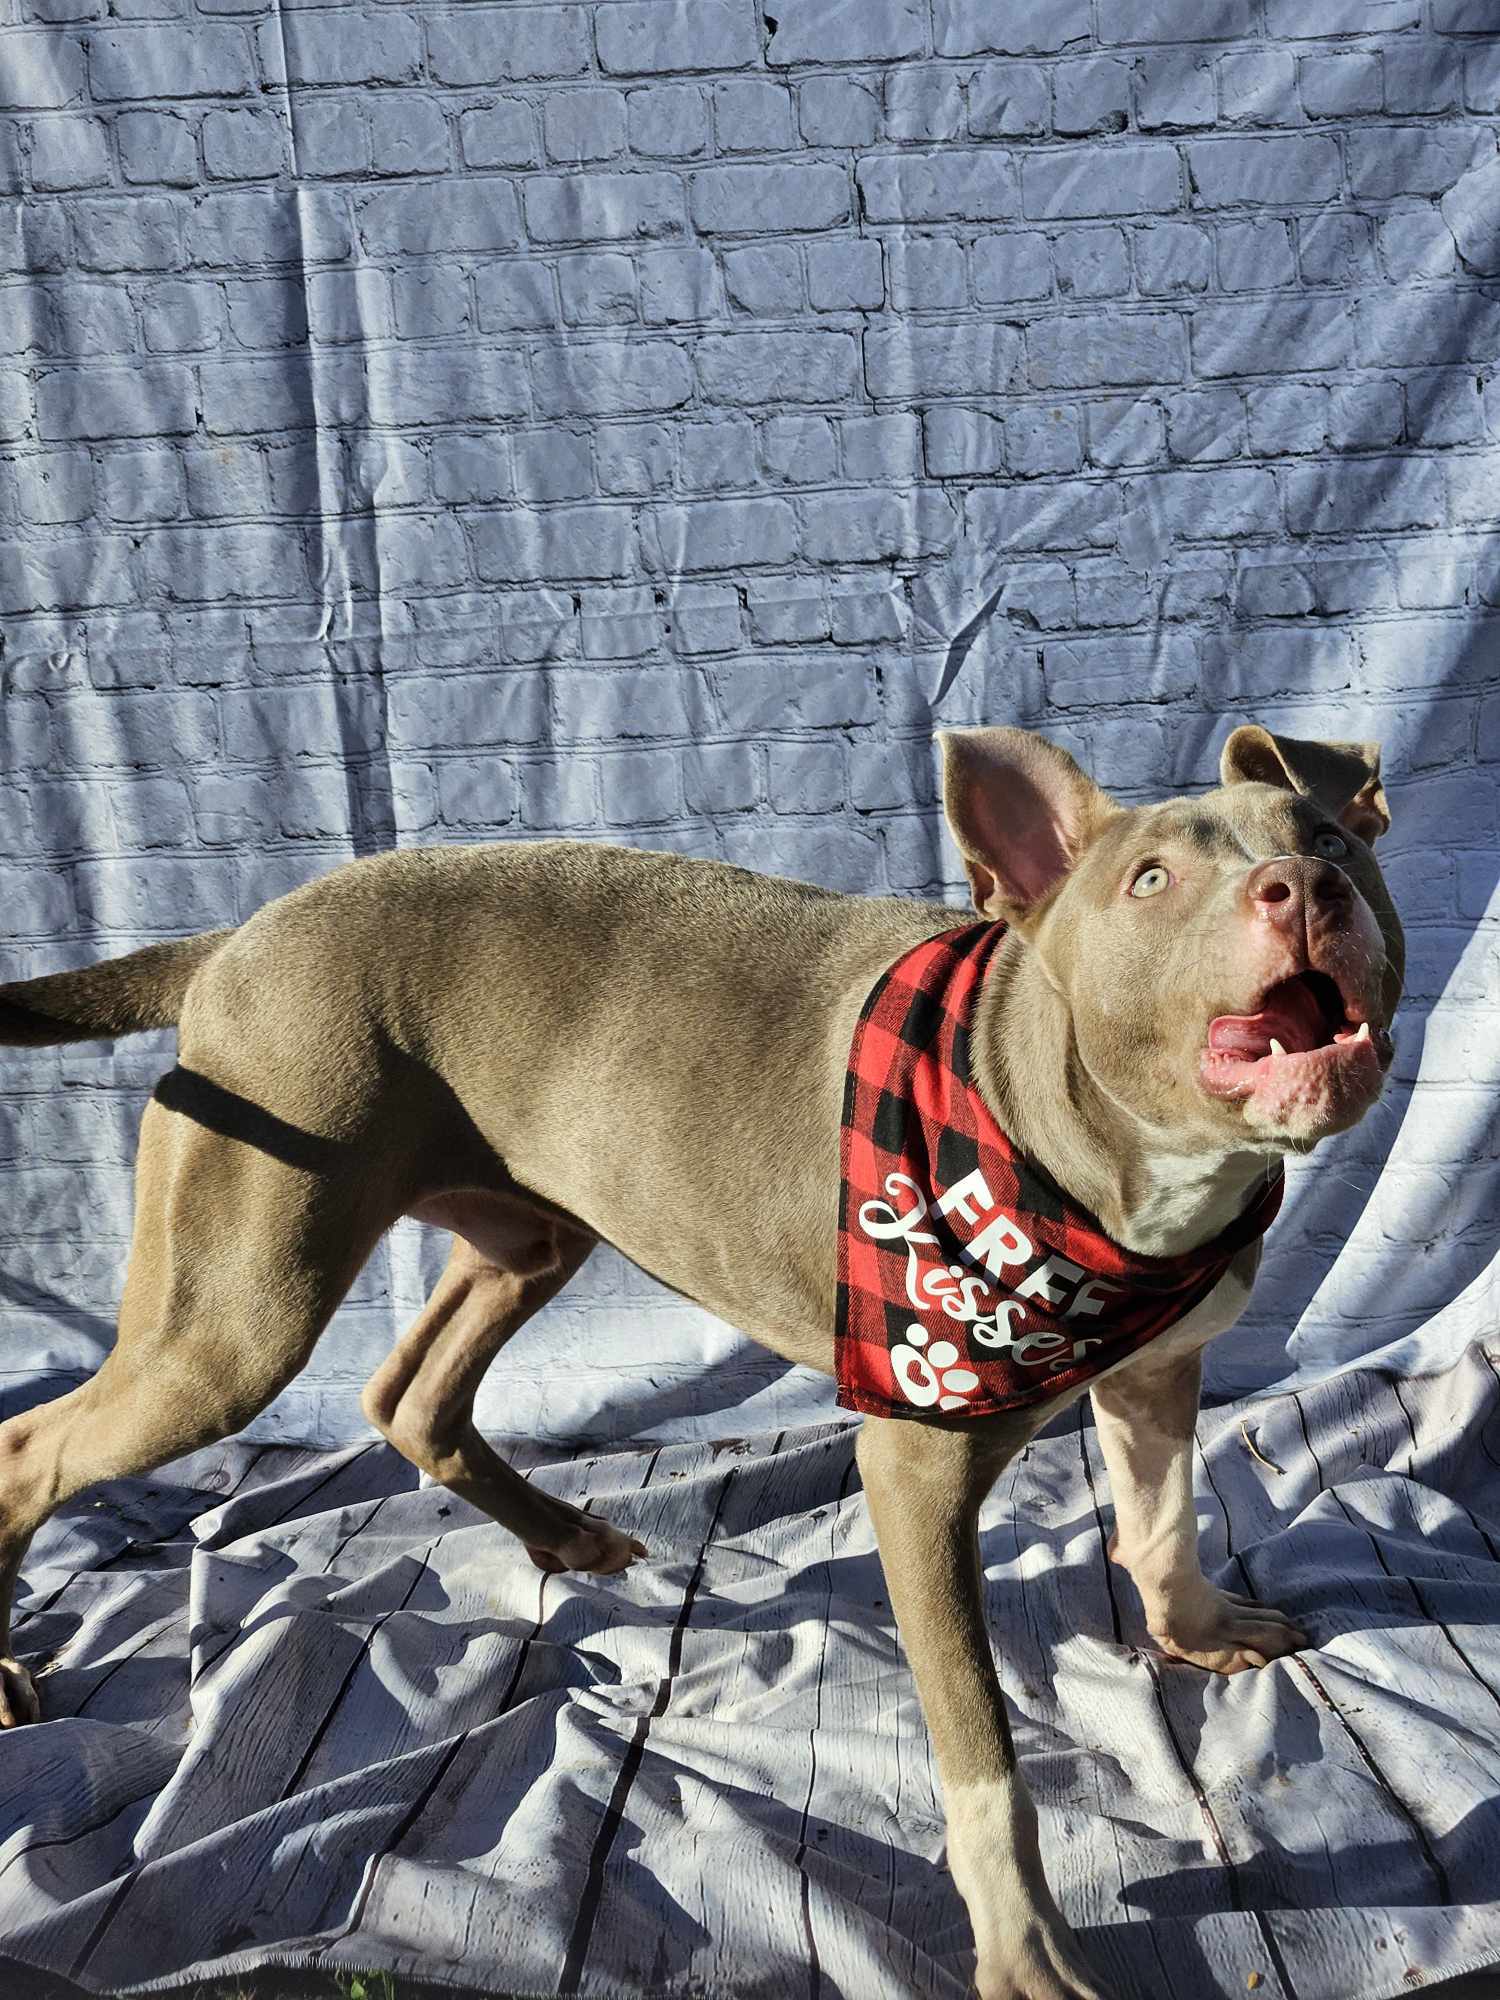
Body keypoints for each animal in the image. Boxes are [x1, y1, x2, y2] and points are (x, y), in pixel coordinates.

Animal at [0, 728, 1408, 2000]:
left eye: (1329, 839)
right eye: (1153, 879)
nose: (1305, 887)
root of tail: (239, 934)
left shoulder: (1159, 1369)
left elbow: (1163, 1517)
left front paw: (1197, 1628)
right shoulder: (914, 1461)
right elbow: (983, 1753)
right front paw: (1027, 1949)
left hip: (525, 1234)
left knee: (410, 1394)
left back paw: (564, 1533)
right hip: (236, 1314)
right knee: (36, 1444)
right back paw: (14, 1673)